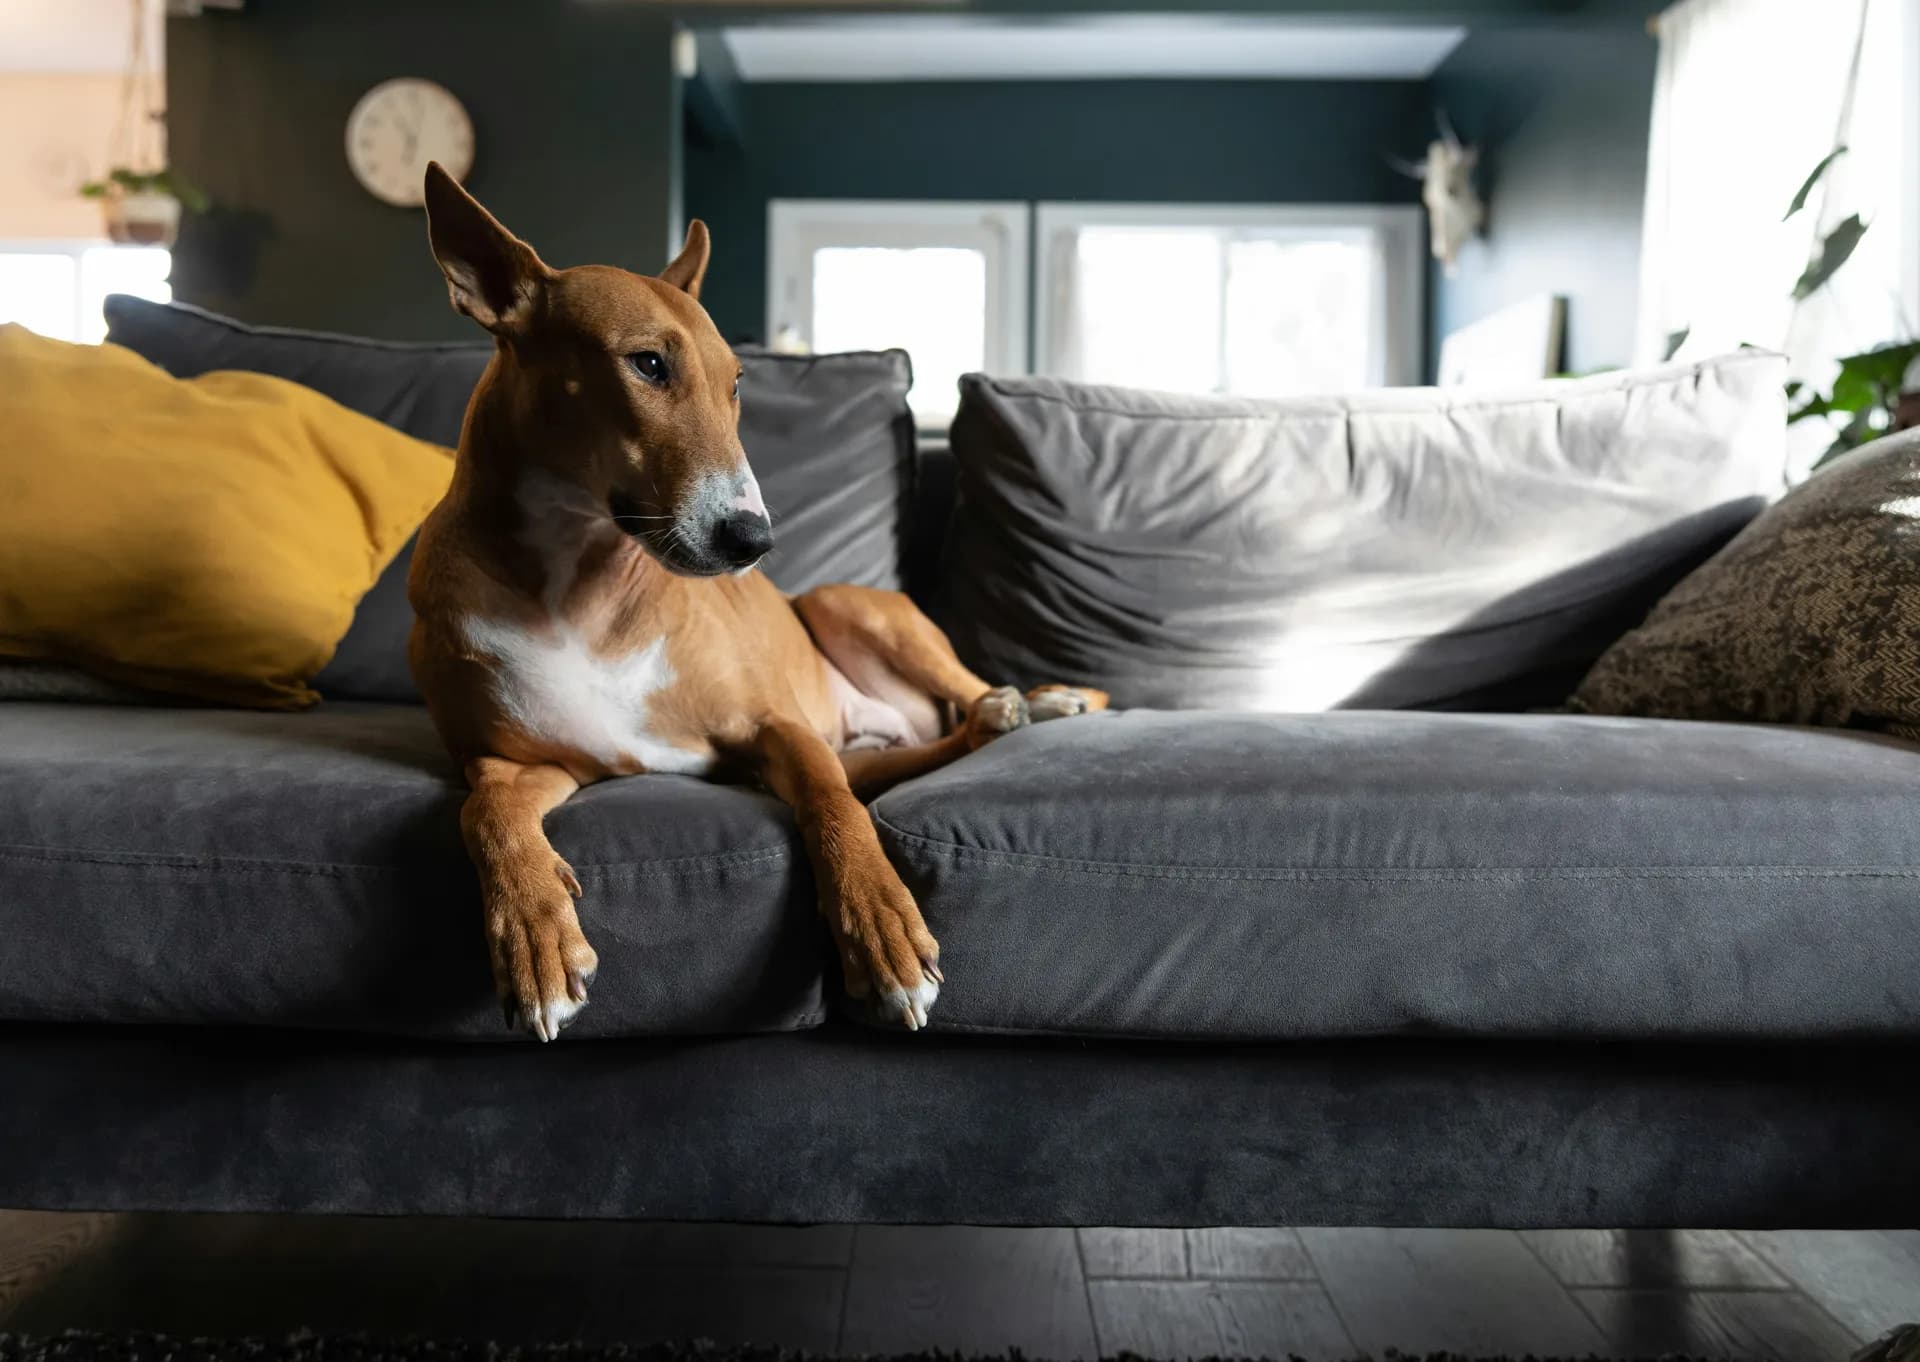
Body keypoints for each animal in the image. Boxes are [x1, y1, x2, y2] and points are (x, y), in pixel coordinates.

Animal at [412, 167, 1105, 1045]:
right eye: (647, 364)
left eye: (736, 382)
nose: (753, 539)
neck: (579, 585)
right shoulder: (522, 762)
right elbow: (486, 814)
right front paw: (535, 939)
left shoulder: (777, 727)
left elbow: (836, 810)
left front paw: (884, 930)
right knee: (929, 746)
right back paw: (1002, 719)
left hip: (849, 607)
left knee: (953, 700)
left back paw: (1043, 702)